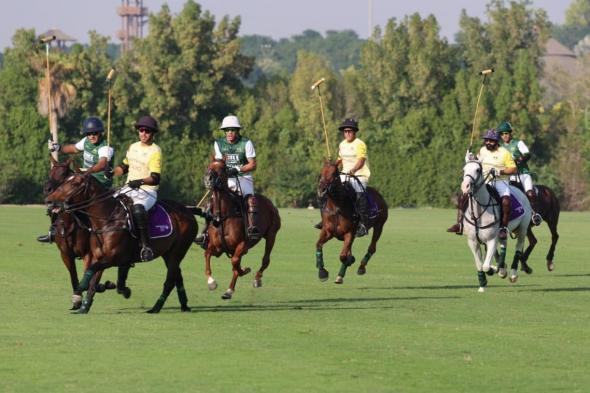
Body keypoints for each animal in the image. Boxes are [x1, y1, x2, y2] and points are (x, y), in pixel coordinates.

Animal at [44, 157, 117, 310]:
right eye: (50, 172)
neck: (71, 223)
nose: (47, 190)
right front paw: (77, 298)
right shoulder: (65, 253)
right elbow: (74, 276)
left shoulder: (89, 254)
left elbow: (88, 275)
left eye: (64, 174)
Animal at [45, 173, 199, 314]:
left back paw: (156, 307)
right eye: (65, 180)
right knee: (178, 276)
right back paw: (184, 305)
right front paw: (85, 306)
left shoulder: (114, 257)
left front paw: (82, 287)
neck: (107, 220)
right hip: (168, 253)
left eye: (74, 184)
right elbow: (94, 279)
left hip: (177, 251)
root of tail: (188, 211)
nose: (49, 200)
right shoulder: (99, 256)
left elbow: (91, 271)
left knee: (170, 280)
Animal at [204, 158, 282, 298]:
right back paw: (229, 290)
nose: (208, 179)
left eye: (222, 168)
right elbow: (207, 254)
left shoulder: (242, 244)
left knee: (265, 259)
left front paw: (245, 270)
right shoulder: (218, 248)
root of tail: (270, 203)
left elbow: (235, 262)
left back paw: (257, 279)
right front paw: (211, 282)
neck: (223, 216)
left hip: (271, 235)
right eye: (209, 166)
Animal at [462, 159, 536, 290]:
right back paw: (502, 269)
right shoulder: (472, 241)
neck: (478, 212)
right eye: (464, 169)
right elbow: (479, 264)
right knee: (503, 243)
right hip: (505, 232)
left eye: (478, 170)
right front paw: (482, 284)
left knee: (518, 246)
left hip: (522, 228)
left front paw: (492, 271)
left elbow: (486, 266)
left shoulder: (492, 239)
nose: (465, 186)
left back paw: (512, 273)